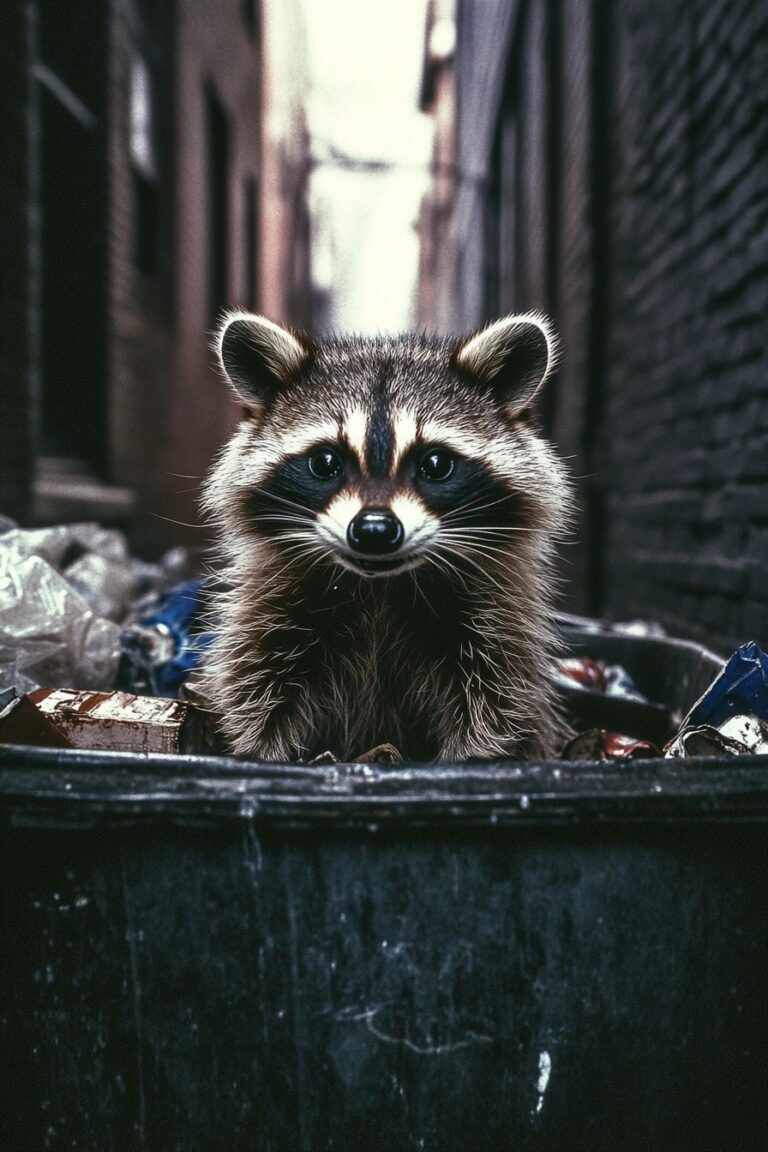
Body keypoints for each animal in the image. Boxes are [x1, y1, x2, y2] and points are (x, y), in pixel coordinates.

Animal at [198, 311, 572, 762]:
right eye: (325, 462)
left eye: (436, 464)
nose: (374, 530)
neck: (380, 587)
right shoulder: (272, 613)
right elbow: (256, 685)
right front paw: (261, 751)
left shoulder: (495, 623)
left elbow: (496, 700)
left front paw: (471, 756)